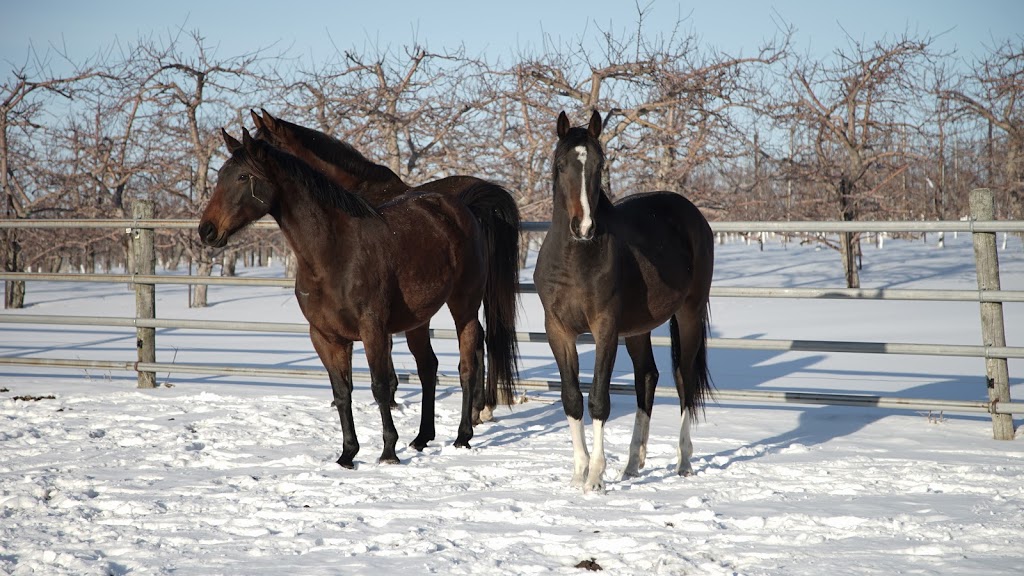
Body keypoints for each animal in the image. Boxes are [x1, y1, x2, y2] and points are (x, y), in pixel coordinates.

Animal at [199, 126, 520, 467]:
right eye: (220, 175)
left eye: (243, 176)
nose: (207, 230)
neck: (333, 254)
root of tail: (463, 208)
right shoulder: (325, 336)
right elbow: (342, 392)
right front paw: (347, 454)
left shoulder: (373, 330)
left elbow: (380, 387)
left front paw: (388, 452)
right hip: (418, 320)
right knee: (428, 368)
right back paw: (422, 438)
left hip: (464, 307)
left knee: (467, 366)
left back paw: (462, 436)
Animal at [532, 109, 716, 491]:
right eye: (560, 165)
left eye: (599, 165)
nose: (584, 227)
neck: (574, 259)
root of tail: (693, 214)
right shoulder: (558, 330)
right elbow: (571, 398)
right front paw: (578, 472)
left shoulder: (605, 329)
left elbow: (599, 399)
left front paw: (595, 478)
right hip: (638, 329)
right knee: (647, 376)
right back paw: (632, 464)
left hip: (689, 313)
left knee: (683, 378)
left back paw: (684, 461)